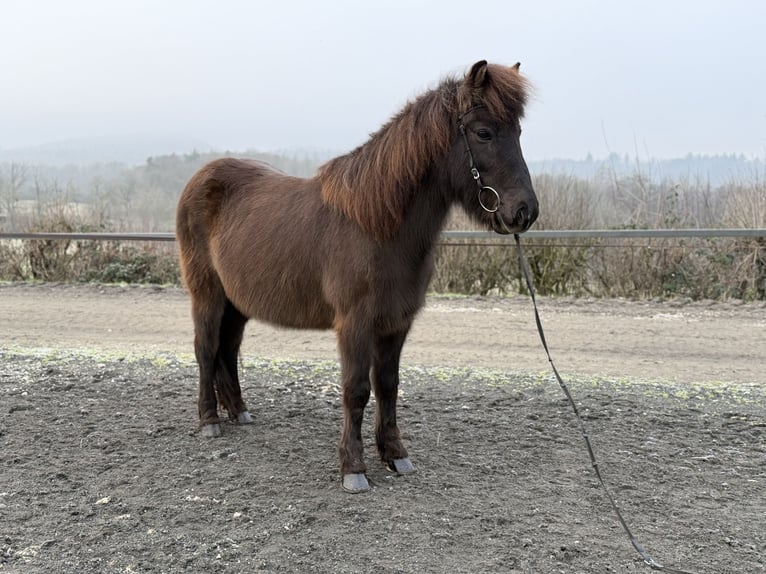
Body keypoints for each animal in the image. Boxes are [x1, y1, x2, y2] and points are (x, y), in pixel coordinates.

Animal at [176, 60, 538, 492]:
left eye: (519, 133)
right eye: (484, 132)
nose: (525, 212)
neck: (376, 224)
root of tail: (202, 176)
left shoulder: (396, 323)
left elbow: (388, 386)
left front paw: (395, 455)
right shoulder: (354, 324)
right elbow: (356, 390)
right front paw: (353, 468)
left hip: (238, 301)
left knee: (228, 350)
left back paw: (239, 412)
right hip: (207, 294)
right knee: (206, 349)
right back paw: (210, 420)